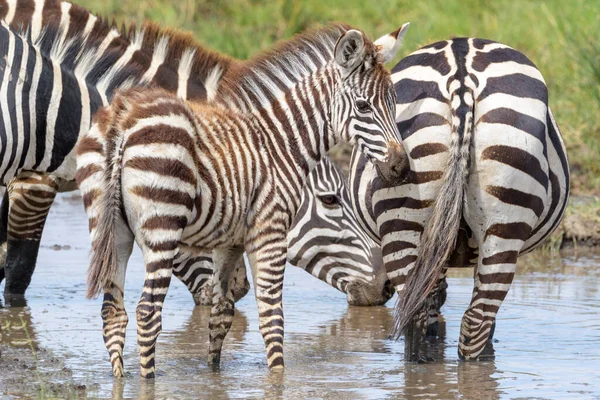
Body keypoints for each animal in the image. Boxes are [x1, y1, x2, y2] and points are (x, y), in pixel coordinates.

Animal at [77, 24, 408, 378]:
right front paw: (277, 378)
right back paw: (148, 380)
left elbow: (221, 314)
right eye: (363, 107)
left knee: (113, 313)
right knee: (147, 312)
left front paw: (215, 376)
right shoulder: (270, 231)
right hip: (161, 227)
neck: (279, 144)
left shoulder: (230, 240)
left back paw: (120, 379)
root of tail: (122, 120)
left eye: (394, 103)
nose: (401, 167)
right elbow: (272, 317)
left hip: (112, 231)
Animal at [346, 38, 568, 360]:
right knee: (472, 321)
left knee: (431, 317)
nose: (363, 296)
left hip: (408, 218)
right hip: (500, 216)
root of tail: (461, 77)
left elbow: (435, 299)